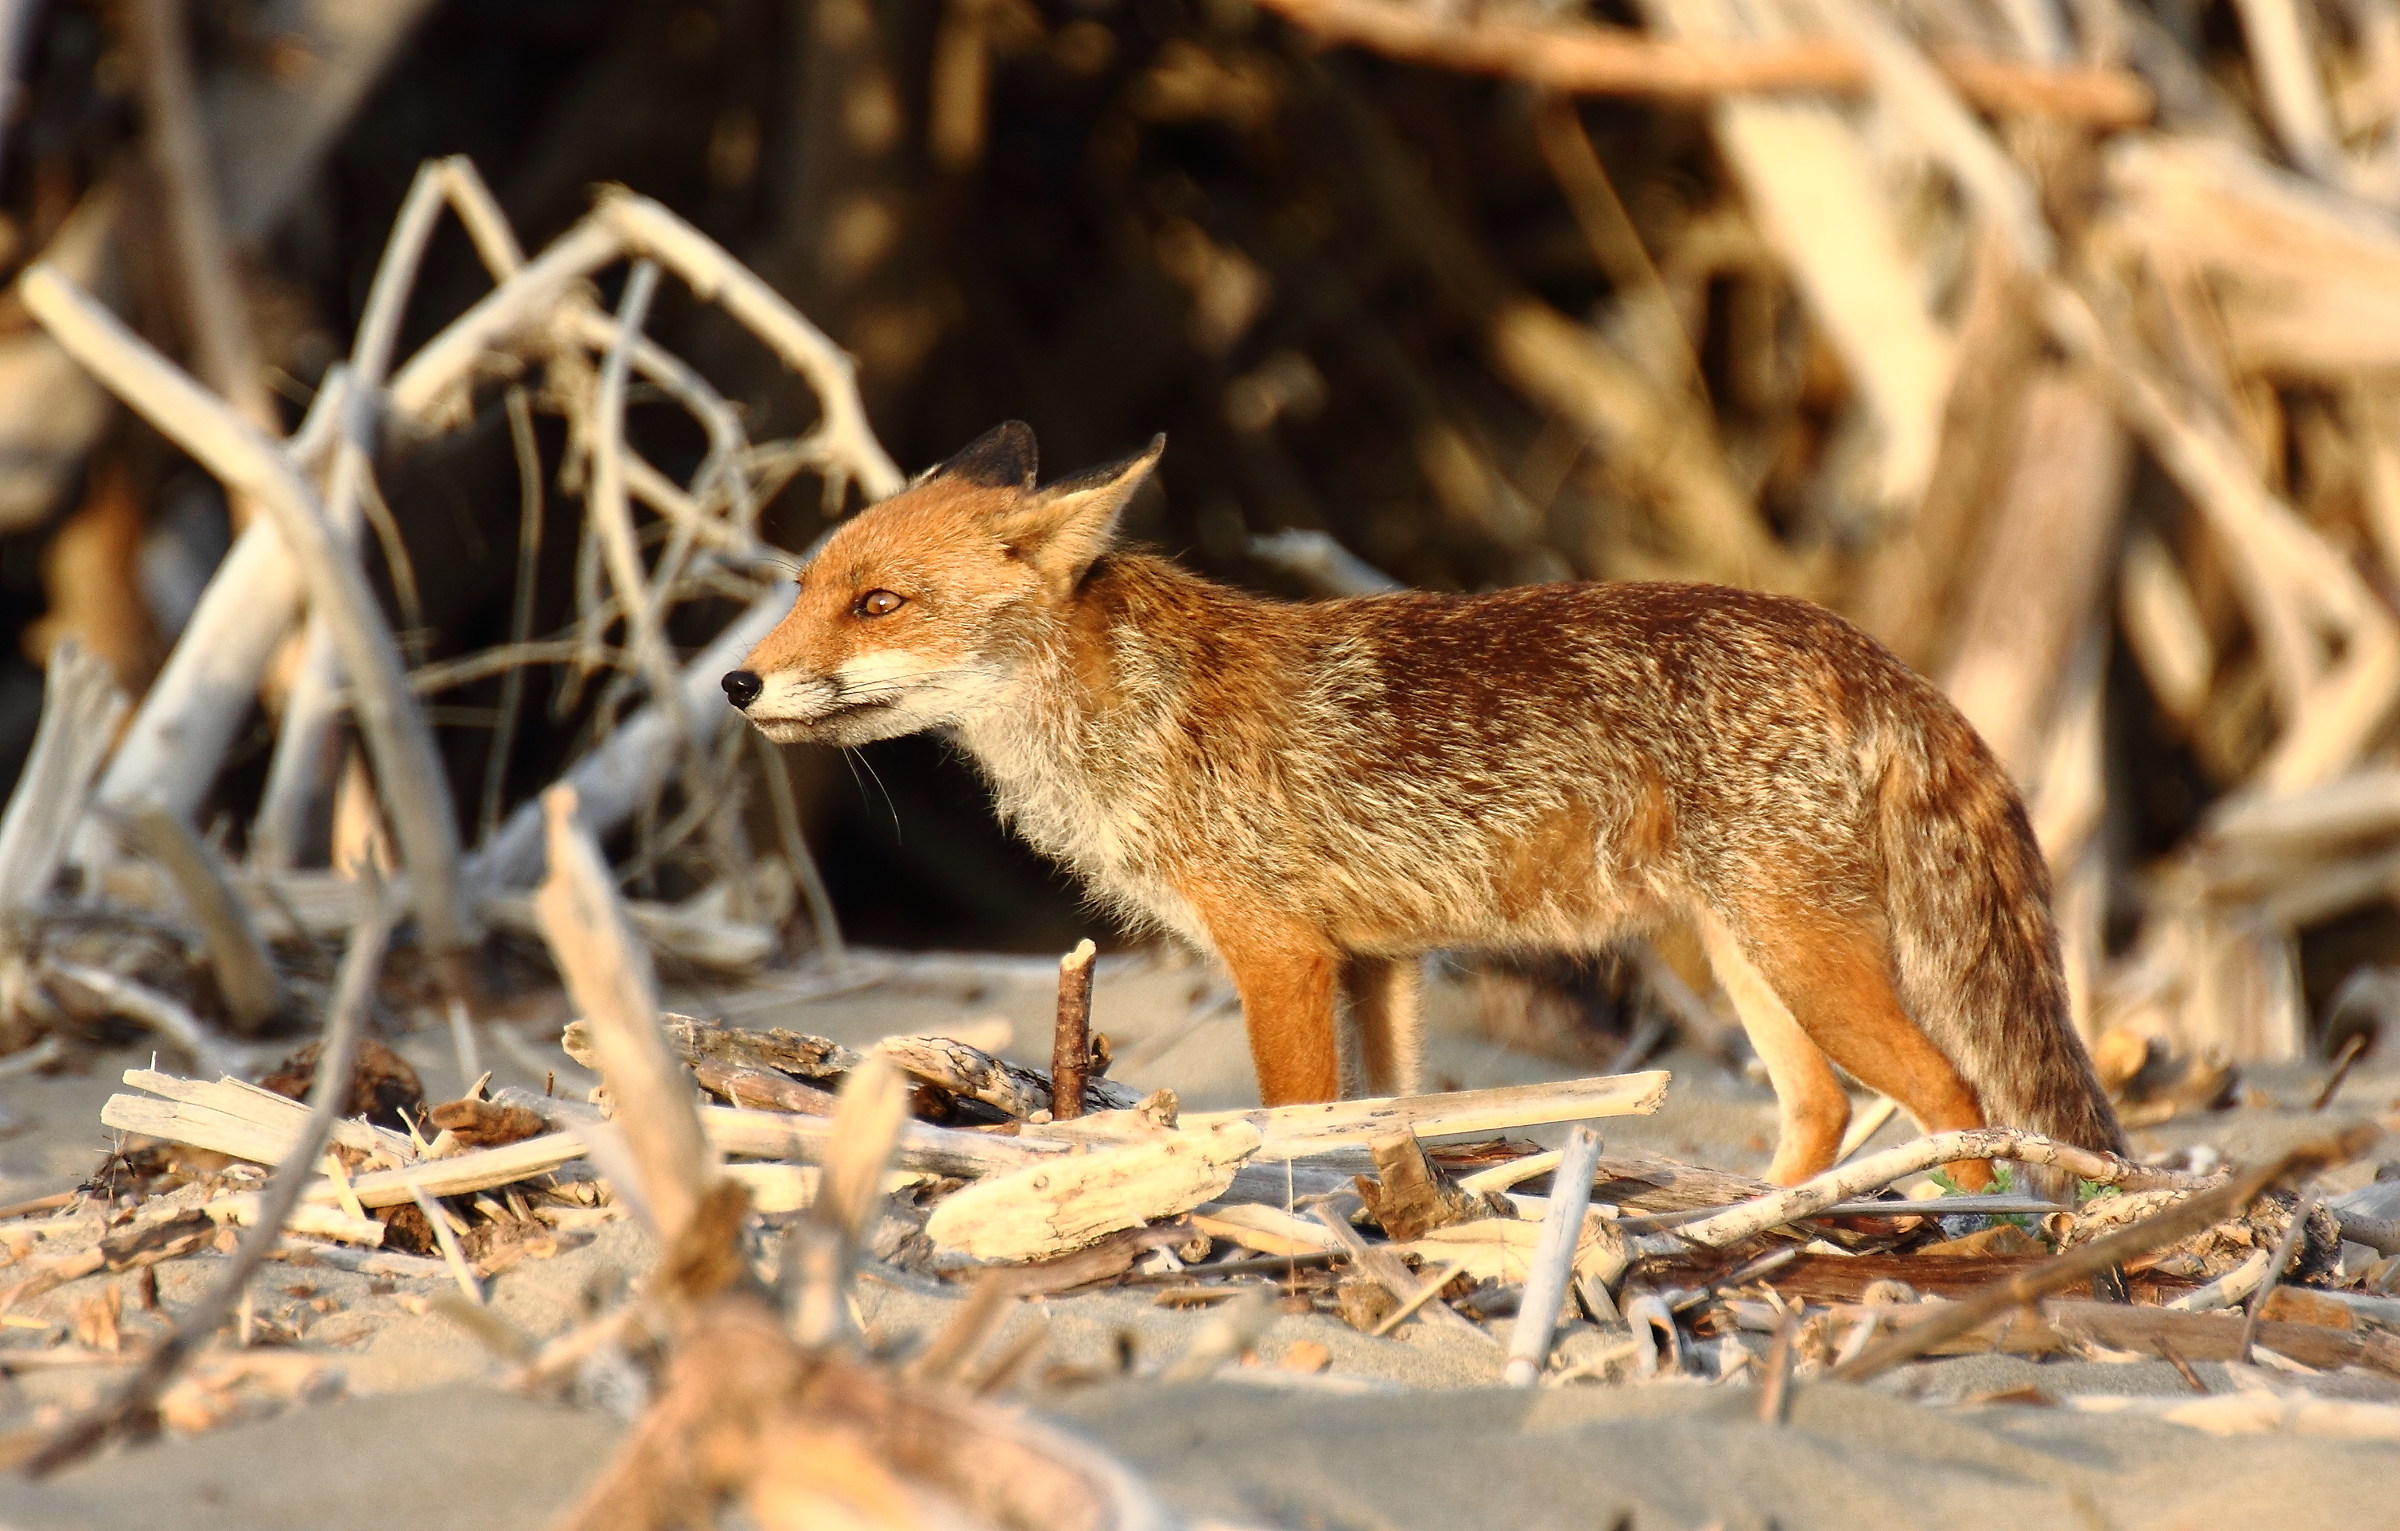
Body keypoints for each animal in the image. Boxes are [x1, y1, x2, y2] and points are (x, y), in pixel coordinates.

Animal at [724, 427, 2121, 1195]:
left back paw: (1956, 1228)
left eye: (880, 604)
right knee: (1823, 1106)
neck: (1136, 714)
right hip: (1752, 955)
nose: (739, 683)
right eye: (805, 586)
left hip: (1804, 956)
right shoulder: (1377, 961)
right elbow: (1386, 1115)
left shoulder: (1278, 954)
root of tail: (1865, 649)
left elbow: (1296, 1117)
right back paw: (1752, 1219)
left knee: (1953, 1089)